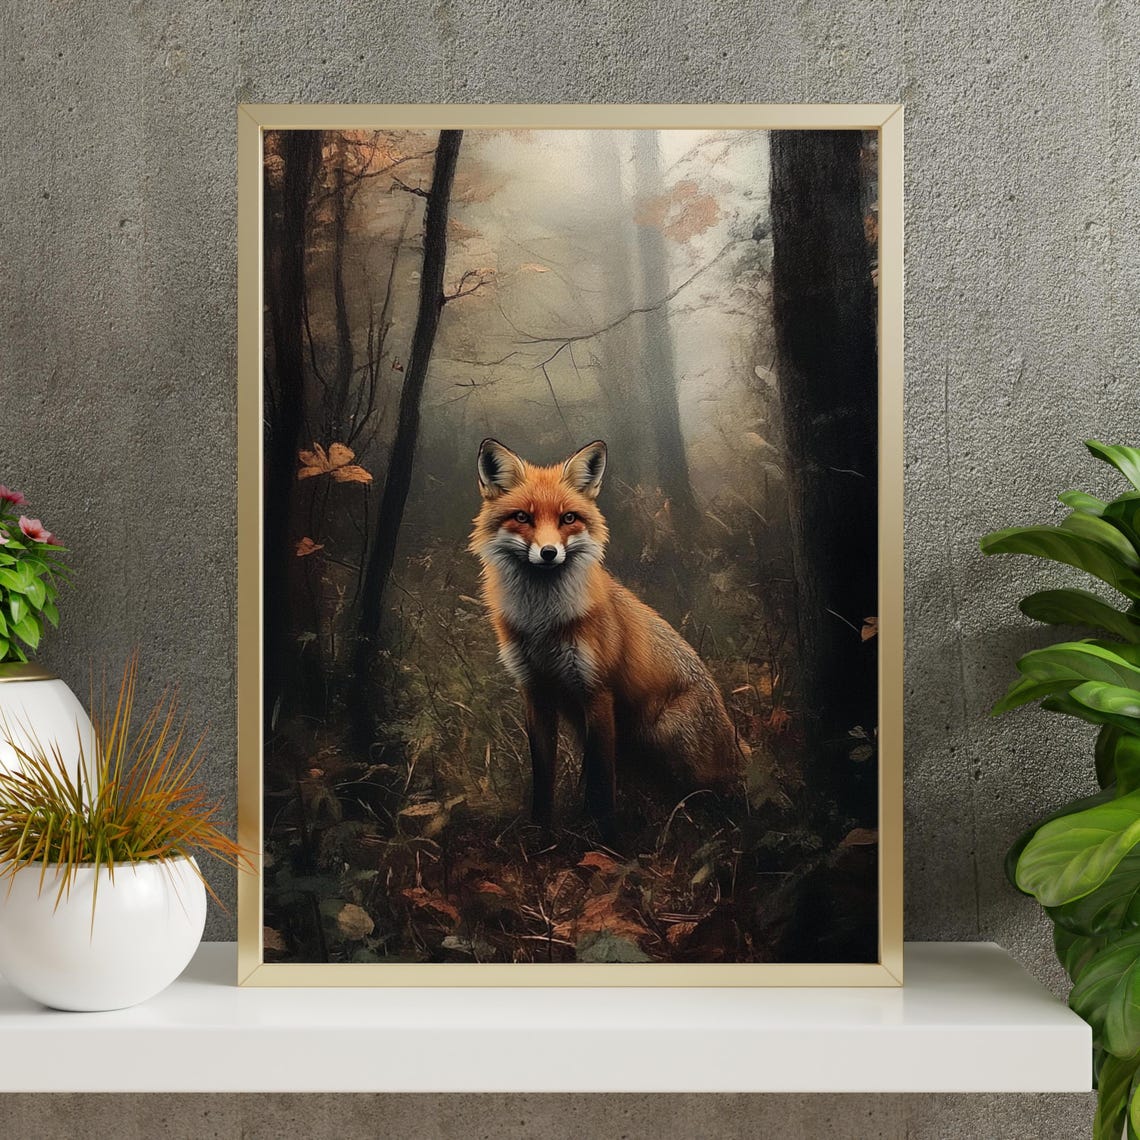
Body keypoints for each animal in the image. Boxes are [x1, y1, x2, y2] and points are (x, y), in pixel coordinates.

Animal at [469, 438, 746, 837]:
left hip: (663, 733)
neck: (541, 624)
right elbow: (543, 773)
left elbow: (600, 779)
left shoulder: (597, 691)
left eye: (568, 518)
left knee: (709, 794)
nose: (549, 553)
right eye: (522, 517)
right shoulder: (535, 691)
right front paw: (540, 831)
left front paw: (601, 835)